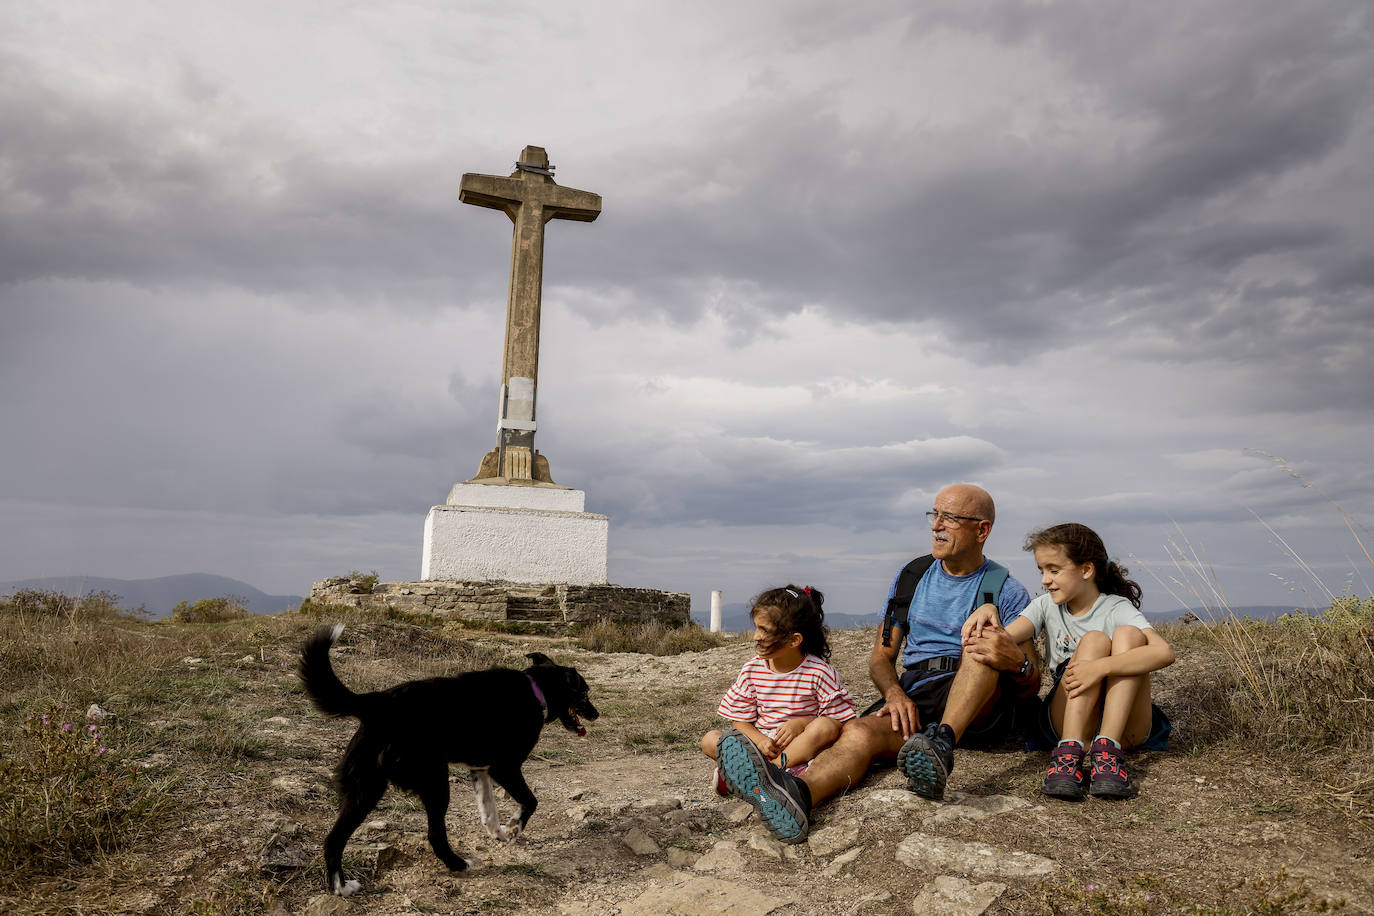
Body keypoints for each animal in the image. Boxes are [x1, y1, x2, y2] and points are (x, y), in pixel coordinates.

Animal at [298, 623, 599, 895]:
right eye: (585, 693)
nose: (596, 714)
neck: (536, 690)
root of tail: (377, 701)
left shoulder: (481, 768)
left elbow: (489, 811)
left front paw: (499, 832)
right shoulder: (505, 768)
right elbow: (531, 801)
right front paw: (515, 828)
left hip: (365, 788)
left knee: (333, 839)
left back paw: (340, 887)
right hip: (433, 782)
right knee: (434, 834)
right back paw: (457, 864)